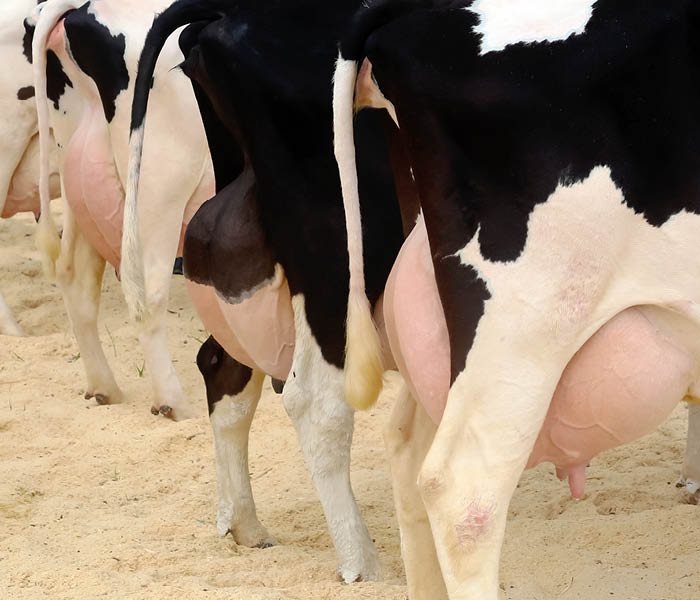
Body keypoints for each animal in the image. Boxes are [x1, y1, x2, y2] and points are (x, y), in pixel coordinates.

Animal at [31, 0, 215, 417]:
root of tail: (84, 9)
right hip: (158, 188)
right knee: (146, 293)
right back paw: (173, 404)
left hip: (79, 179)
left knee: (73, 277)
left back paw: (105, 388)